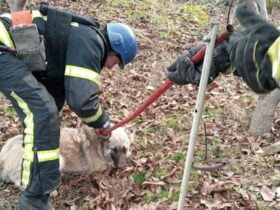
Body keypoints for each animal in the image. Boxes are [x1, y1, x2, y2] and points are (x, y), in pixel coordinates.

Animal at [0, 125, 132, 188]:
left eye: (125, 149)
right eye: (114, 149)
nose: (121, 166)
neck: (98, 144)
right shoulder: (97, 167)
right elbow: (108, 165)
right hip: (57, 158)